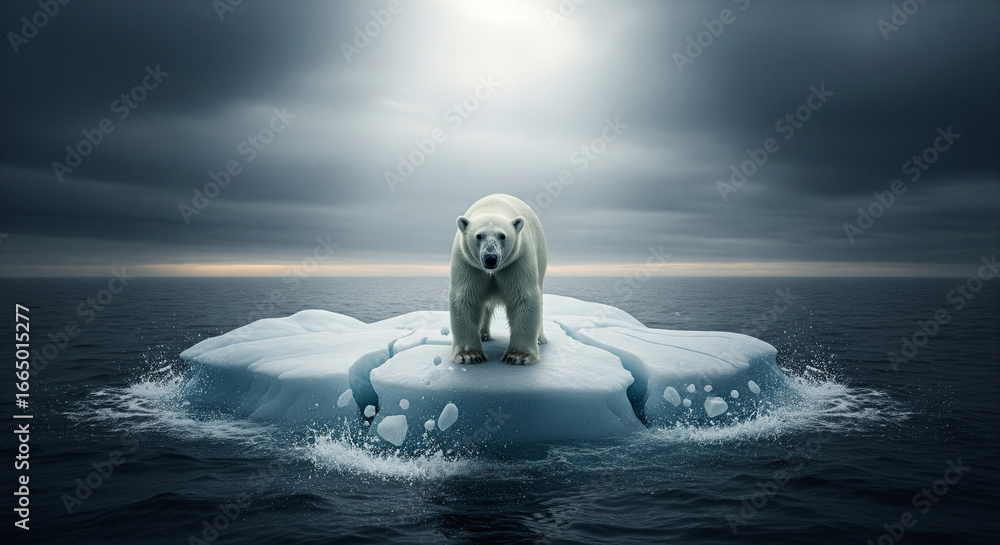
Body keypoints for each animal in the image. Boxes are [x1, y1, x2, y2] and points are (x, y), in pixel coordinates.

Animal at [449, 193, 548, 365]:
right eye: (478, 235)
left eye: (503, 236)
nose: (490, 258)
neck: (493, 206)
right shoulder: (468, 263)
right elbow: (466, 297)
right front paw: (470, 355)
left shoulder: (517, 260)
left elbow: (523, 297)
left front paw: (518, 356)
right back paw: (483, 334)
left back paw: (540, 338)